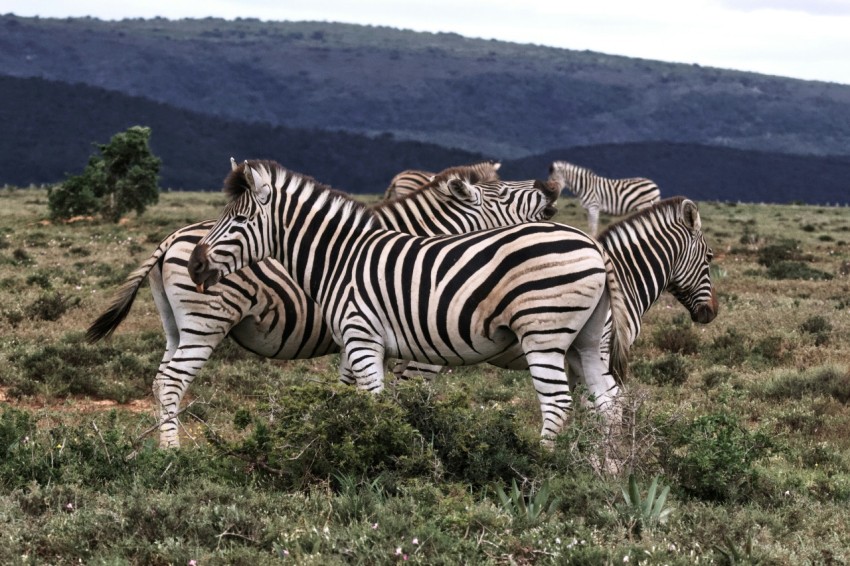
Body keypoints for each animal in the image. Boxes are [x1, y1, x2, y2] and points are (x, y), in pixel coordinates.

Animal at [87, 159, 559, 448]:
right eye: (503, 193)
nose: (552, 186)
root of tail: (171, 238)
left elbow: (350, 386)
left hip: (176, 324)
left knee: (160, 378)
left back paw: (160, 441)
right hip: (206, 322)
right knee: (172, 380)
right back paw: (173, 449)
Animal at [188, 159, 630, 442]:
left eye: (240, 220)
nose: (195, 264)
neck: (341, 256)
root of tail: (594, 245)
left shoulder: (364, 338)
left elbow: (377, 402)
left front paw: (380, 457)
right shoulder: (361, 344)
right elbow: (359, 398)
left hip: (544, 332)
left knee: (558, 404)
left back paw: (540, 468)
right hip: (584, 341)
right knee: (606, 405)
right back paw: (603, 475)